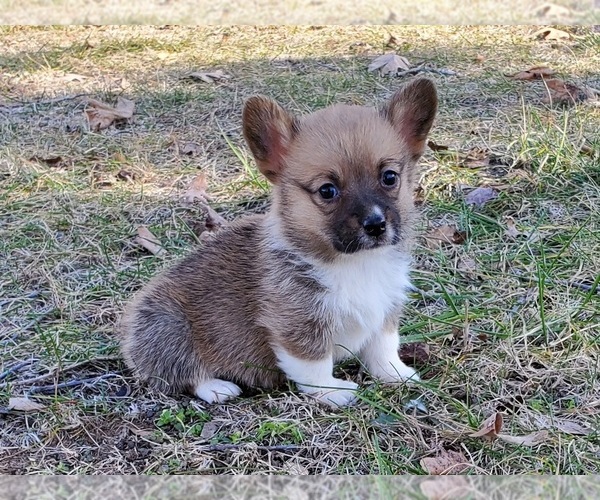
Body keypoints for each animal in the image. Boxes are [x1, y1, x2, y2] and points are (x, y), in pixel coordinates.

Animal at [118, 78, 436, 406]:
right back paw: (218, 388)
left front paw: (395, 373)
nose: (375, 225)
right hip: (170, 328)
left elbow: (383, 347)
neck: (355, 264)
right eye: (327, 191)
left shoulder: (385, 309)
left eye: (389, 177)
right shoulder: (298, 323)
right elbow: (314, 364)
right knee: (183, 374)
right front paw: (332, 392)